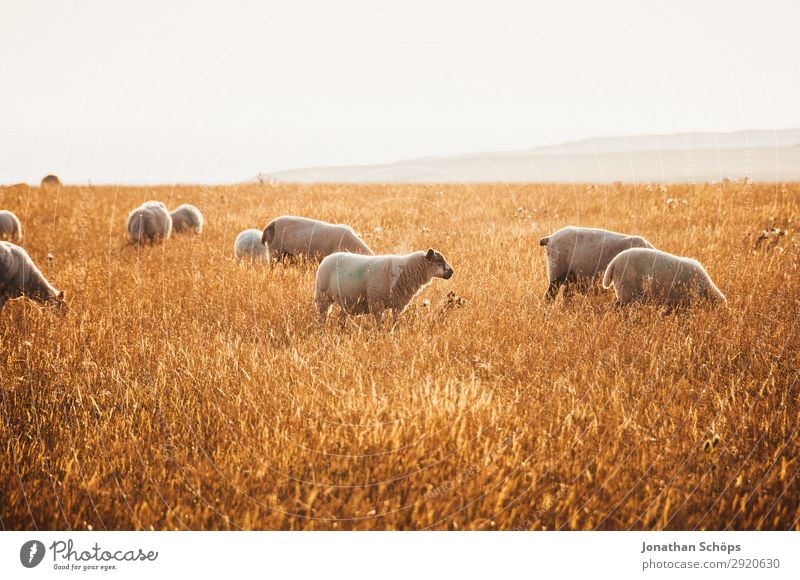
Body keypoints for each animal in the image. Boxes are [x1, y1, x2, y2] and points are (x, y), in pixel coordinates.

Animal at [314, 248, 454, 328]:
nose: (451, 272)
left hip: (347, 302)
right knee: (322, 316)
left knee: (341, 318)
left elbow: (395, 322)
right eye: (439, 261)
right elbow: (379, 324)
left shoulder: (398, 305)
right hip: (323, 296)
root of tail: (327, 258)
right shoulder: (377, 303)